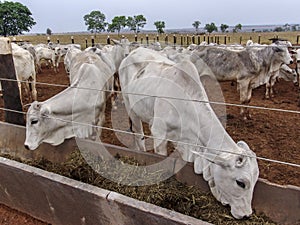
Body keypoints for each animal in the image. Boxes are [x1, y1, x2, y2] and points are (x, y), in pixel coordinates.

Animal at [118, 48, 258, 220]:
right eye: (241, 183)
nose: (247, 215)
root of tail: (133, 52)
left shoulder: (186, 143)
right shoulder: (159, 134)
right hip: (130, 107)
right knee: (139, 135)